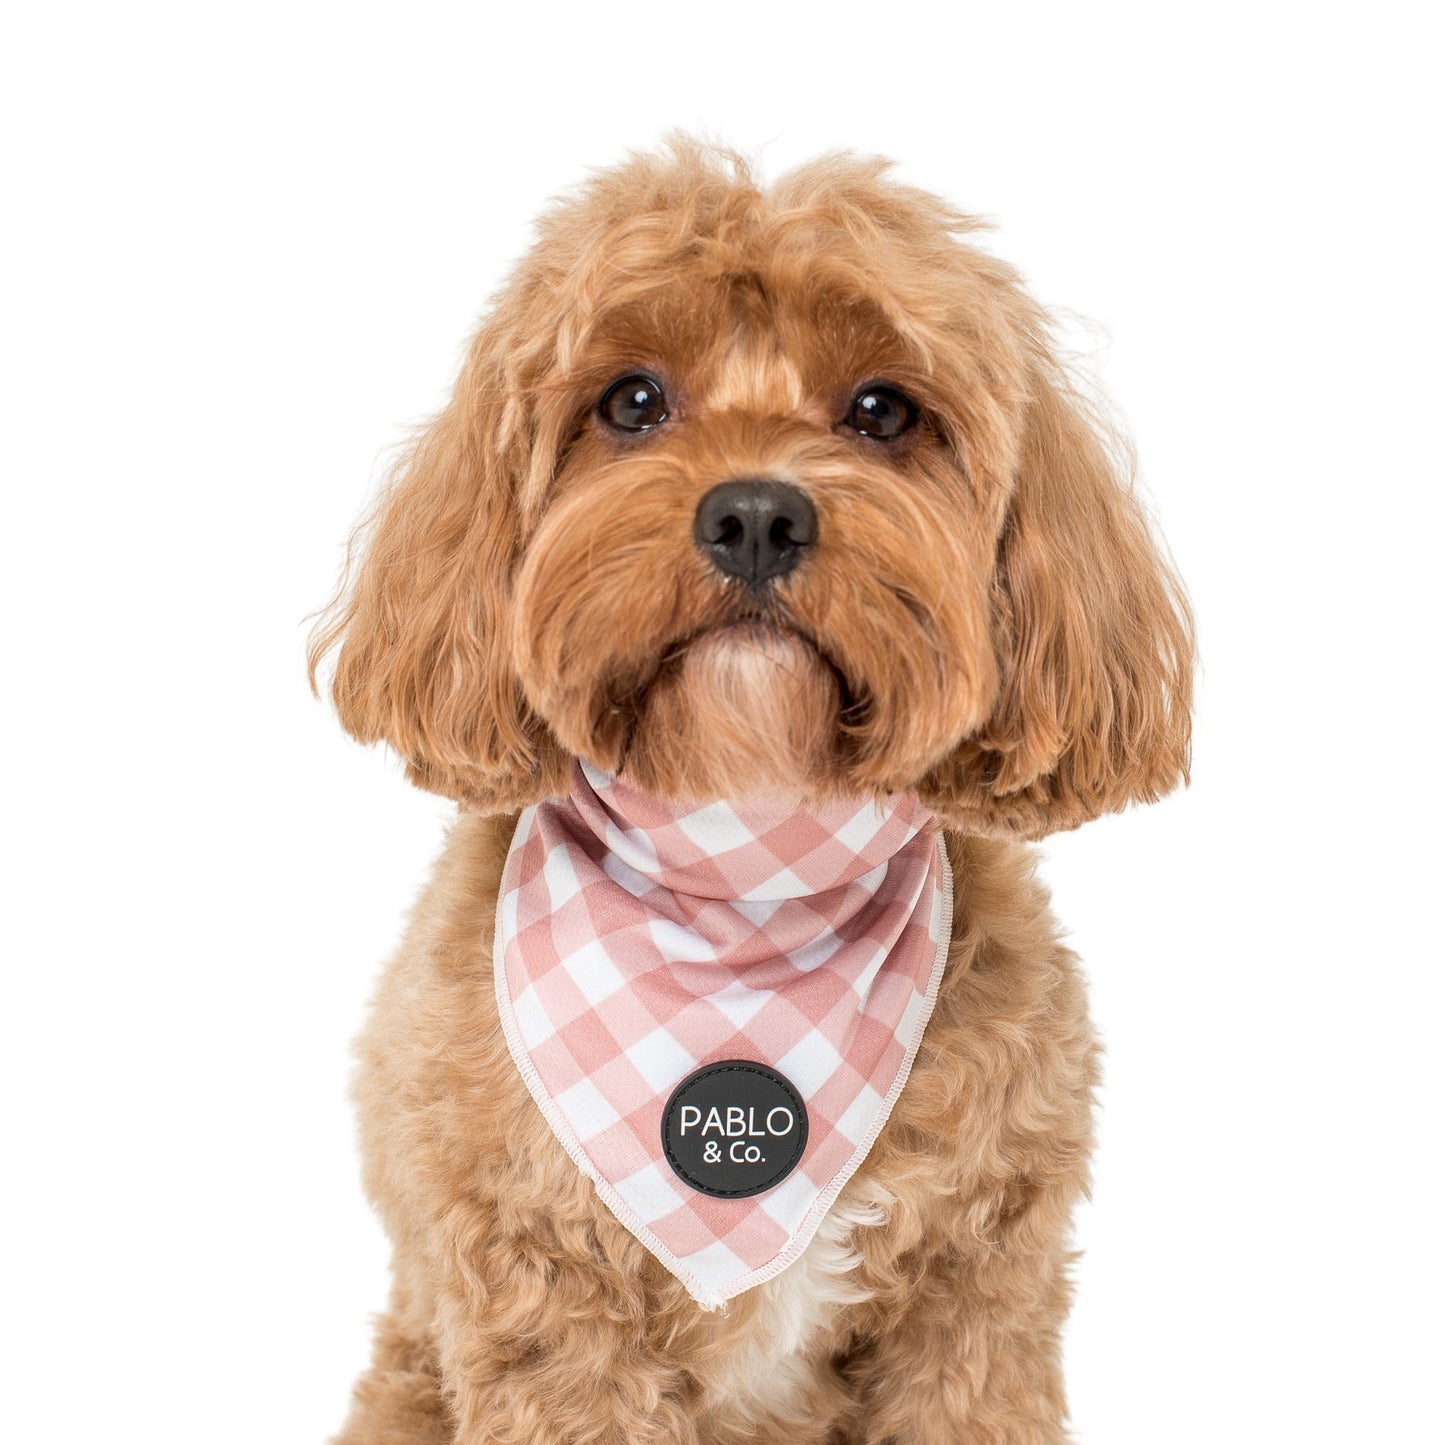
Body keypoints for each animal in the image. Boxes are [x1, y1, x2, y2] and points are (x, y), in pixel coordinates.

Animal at [313, 137, 1196, 1445]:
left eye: (881, 409)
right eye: (631, 401)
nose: (755, 513)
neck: (746, 863)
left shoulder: (975, 1297)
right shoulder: (550, 1309)